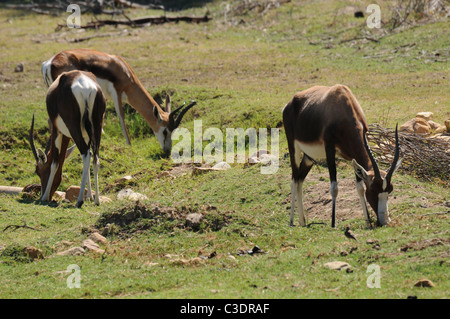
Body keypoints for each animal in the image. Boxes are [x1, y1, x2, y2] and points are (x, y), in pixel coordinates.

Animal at [29, 70, 106, 209]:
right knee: (95, 157)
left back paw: (79, 201)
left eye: (38, 171)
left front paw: (44, 197)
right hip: (97, 125)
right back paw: (97, 200)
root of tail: (86, 86)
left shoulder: (56, 130)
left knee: (86, 154)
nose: (44, 194)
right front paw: (90, 197)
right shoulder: (86, 134)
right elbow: (90, 157)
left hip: (73, 127)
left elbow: (55, 162)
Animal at [41, 48, 195, 153]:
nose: (167, 150)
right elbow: (122, 118)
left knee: (50, 120)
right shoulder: (117, 92)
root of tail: (49, 63)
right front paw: (129, 145)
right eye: (165, 131)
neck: (124, 71)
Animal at [284, 85, 402, 229]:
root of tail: (290, 103)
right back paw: (291, 221)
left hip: (309, 157)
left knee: (300, 180)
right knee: (294, 180)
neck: (343, 106)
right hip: (294, 148)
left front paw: (367, 221)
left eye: (390, 190)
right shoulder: (329, 149)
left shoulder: (353, 157)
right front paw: (333, 223)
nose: (385, 221)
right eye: (374, 190)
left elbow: (360, 188)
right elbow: (334, 187)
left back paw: (302, 221)